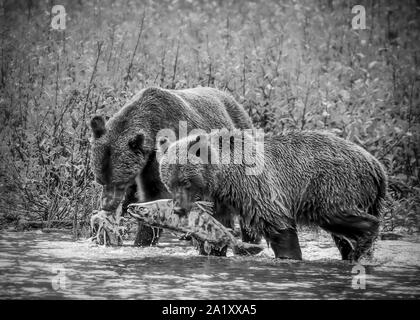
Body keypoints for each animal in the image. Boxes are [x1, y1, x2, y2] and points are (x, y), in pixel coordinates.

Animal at [90, 87, 258, 250]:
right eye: (100, 181)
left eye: (118, 183)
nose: (106, 205)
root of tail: (235, 101)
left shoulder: (158, 157)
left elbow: (153, 194)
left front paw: (141, 240)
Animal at [159, 129, 388, 262]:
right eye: (169, 182)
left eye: (186, 182)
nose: (178, 208)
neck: (223, 180)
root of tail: (377, 166)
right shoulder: (221, 200)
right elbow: (218, 228)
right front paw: (211, 248)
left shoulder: (254, 186)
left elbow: (275, 222)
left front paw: (289, 256)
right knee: (341, 236)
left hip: (332, 186)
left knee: (336, 215)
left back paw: (363, 245)